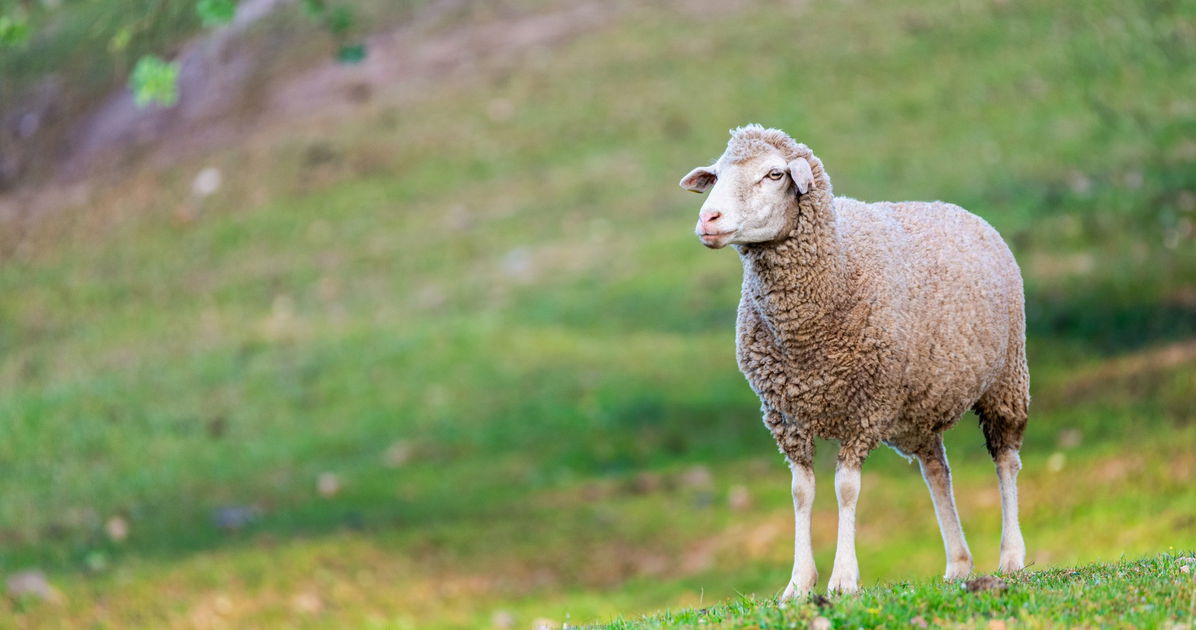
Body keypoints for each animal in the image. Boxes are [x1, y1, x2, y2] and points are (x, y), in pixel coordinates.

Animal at [678, 124, 1029, 598]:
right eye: (714, 175)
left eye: (774, 174)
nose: (708, 220)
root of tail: (958, 210)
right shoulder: (785, 414)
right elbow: (801, 491)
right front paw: (799, 583)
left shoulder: (867, 406)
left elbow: (846, 488)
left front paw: (843, 578)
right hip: (916, 409)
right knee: (937, 471)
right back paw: (958, 564)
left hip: (1006, 379)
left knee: (1006, 461)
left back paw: (1011, 557)